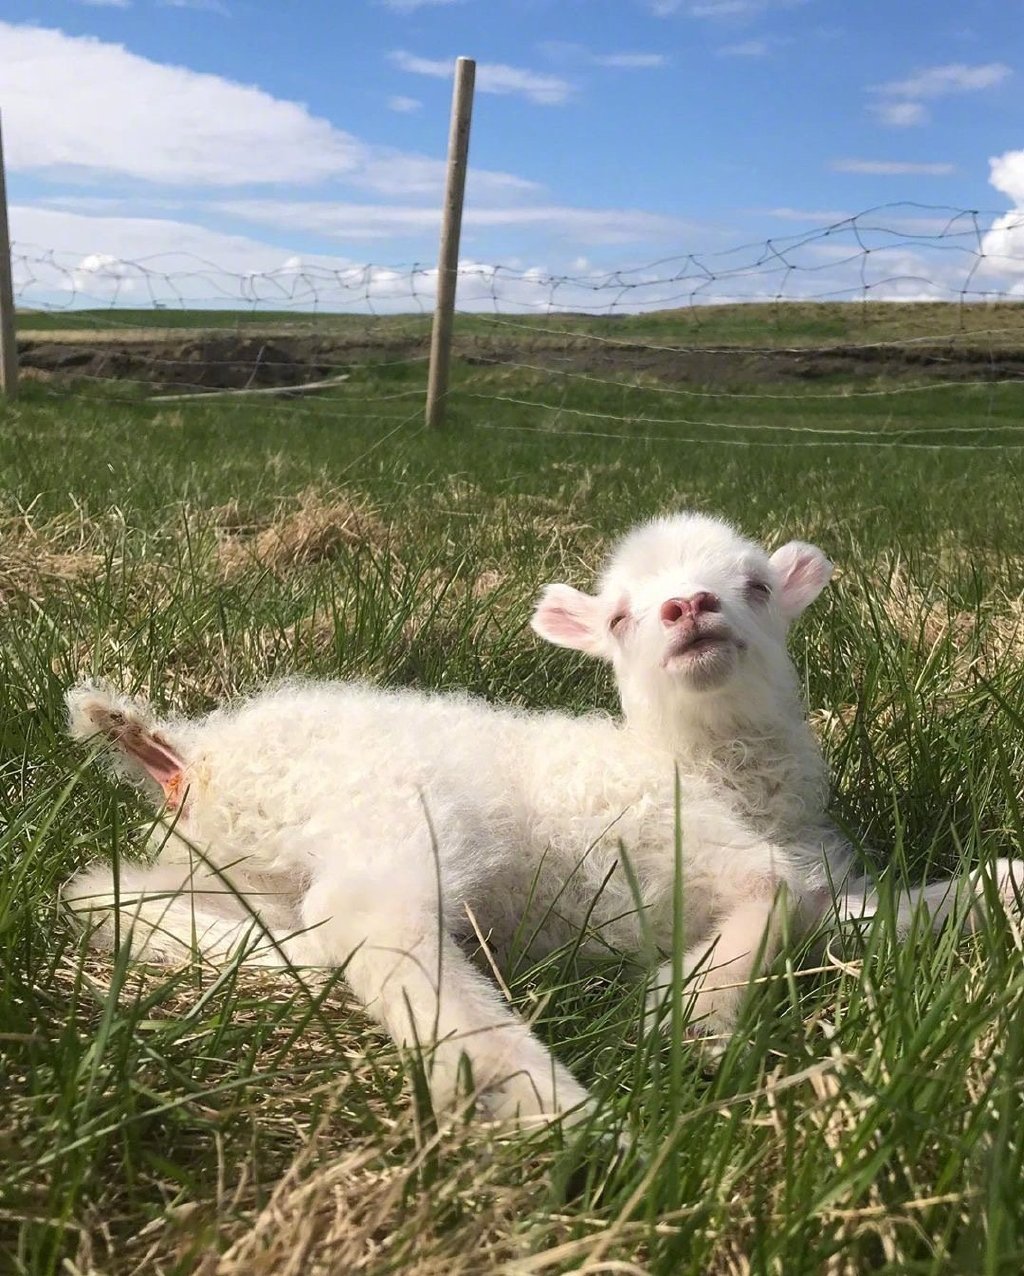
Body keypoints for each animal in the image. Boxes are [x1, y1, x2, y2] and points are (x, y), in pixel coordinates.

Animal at [65, 507, 1024, 1127]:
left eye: (754, 584)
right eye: (622, 616)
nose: (689, 608)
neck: (707, 773)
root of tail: (192, 761)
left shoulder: (814, 885)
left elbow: (866, 916)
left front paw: (1000, 887)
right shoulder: (676, 849)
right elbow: (774, 900)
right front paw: (685, 1019)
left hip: (229, 866)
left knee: (107, 893)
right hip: (388, 807)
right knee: (375, 923)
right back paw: (554, 1114)